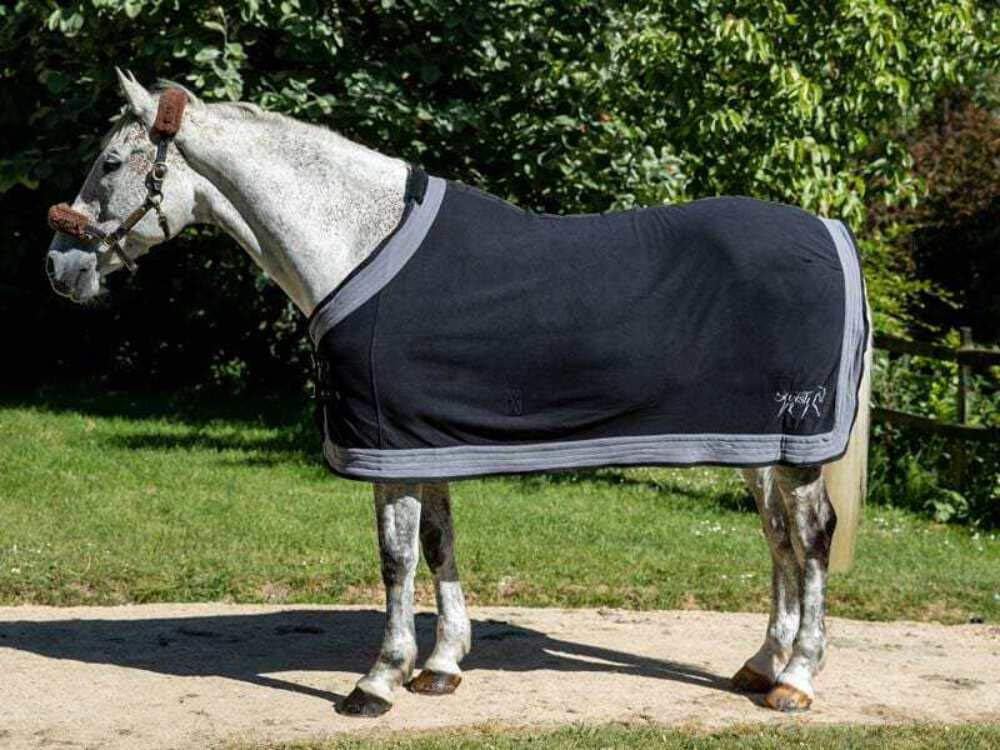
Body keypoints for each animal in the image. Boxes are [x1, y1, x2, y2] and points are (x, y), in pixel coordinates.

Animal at [46, 72, 872, 717]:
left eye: (111, 160)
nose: (59, 266)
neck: (359, 242)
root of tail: (830, 228)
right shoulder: (421, 441)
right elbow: (439, 545)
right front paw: (440, 666)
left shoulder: (386, 444)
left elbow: (395, 559)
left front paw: (377, 681)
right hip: (758, 445)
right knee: (779, 541)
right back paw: (761, 665)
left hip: (796, 445)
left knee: (811, 538)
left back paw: (797, 679)